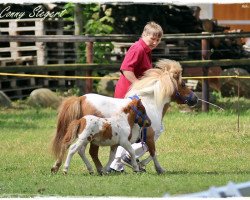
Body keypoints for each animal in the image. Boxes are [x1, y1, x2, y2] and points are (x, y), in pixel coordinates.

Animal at [51, 58, 197, 174]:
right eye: (183, 84)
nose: (195, 99)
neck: (151, 104)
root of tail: (81, 98)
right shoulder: (150, 136)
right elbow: (152, 152)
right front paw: (155, 168)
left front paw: (134, 164)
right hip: (89, 137)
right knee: (86, 151)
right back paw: (97, 169)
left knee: (77, 149)